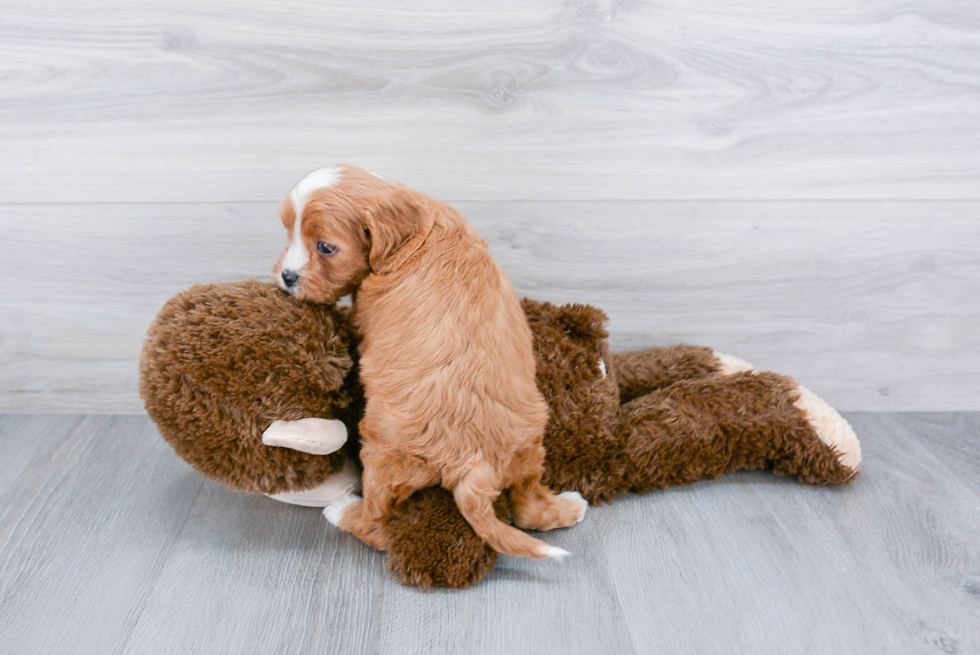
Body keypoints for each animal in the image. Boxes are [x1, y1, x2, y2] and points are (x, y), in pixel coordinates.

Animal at [272, 165, 584, 560]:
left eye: (325, 247)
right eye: (288, 232)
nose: (287, 277)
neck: (418, 230)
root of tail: (476, 466)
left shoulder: (363, 313)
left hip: (383, 457)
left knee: (376, 525)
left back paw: (342, 512)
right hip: (528, 447)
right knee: (528, 507)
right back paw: (571, 506)